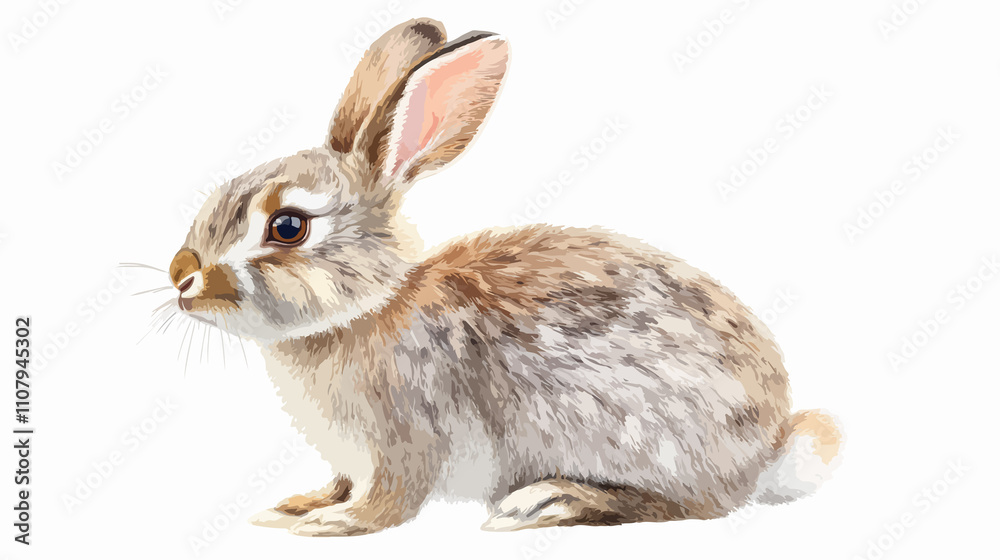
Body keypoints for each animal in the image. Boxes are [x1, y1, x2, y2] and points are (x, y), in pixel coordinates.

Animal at [166, 18, 842, 537]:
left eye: (287, 227)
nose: (182, 277)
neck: (367, 307)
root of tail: (769, 450)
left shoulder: (408, 437)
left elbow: (391, 502)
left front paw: (336, 524)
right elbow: (338, 482)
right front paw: (298, 506)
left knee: (692, 506)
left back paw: (551, 500)